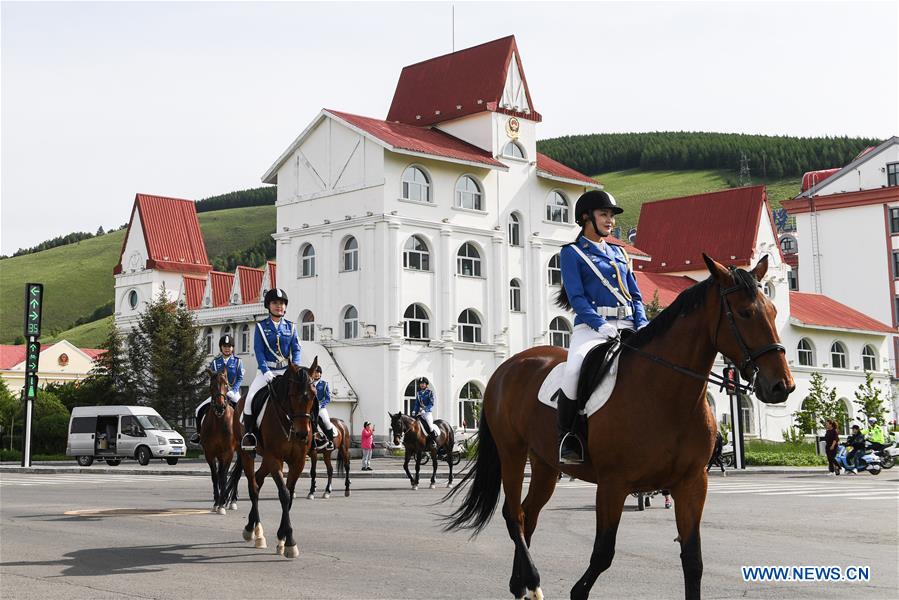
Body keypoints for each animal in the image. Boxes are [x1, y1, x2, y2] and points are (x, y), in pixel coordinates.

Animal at [200, 368, 236, 512]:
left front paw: (221, 503)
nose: (220, 407)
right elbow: (215, 476)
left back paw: (232, 500)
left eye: (226, 384)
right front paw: (217, 502)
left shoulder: (229, 452)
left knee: (237, 473)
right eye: (211, 386)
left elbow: (224, 475)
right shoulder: (209, 453)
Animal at [225, 356, 320, 556]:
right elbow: (284, 494)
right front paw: (290, 541)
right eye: (292, 395)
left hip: (266, 459)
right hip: (248, 454)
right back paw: (256, 532)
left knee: (258, 479)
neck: (288, 420)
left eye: (313, 395)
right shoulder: (275, 459)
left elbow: (289, 494)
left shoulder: (298, 461)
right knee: (253, 486)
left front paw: (282, 538)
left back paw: (253, 527)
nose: (302, 434)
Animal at [442, 255, 796, 596]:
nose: (782, 386)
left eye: (774, 310)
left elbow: (693, 560)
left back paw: (521, 585)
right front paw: (577, 591)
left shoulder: (692, 483)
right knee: (513, 515)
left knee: (529, 514)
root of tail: (508, 366)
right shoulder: (613, 485)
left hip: (544, 463)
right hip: (512, 452)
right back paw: (532, 580)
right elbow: (602, 554)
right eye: (745, 313)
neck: (666, 394)